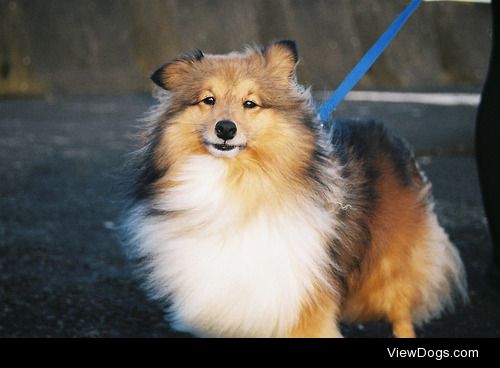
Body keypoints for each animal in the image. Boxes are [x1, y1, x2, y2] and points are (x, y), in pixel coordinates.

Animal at [123, 39, 466, 336]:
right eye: (208, 100)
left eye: (250, 104)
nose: (225, 129)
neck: (234, 178)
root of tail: (386, 134)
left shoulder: (303, 301)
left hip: (391, 266)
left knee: (401, 311)